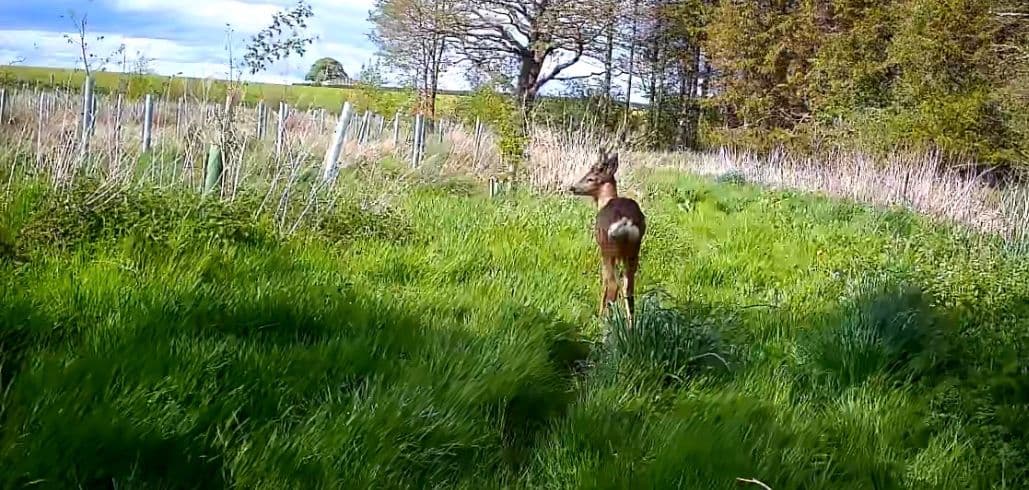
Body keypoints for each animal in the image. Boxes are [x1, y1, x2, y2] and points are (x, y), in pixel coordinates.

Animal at [568, 146, 646, 328]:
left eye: (590, 178)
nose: (573, 187)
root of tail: (626, 222)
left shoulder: (602, 250)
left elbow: (603, 281)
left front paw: (600, 313)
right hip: (633, 251)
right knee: (628, 289)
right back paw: (630, 328)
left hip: (608, 248)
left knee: (612, 285)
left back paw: (605, 323)